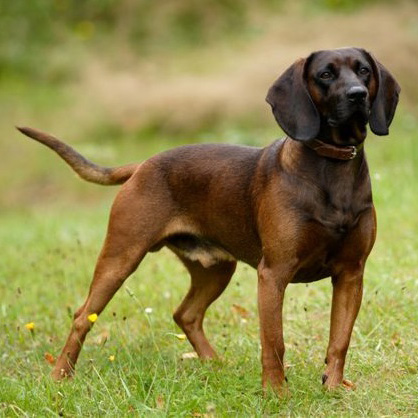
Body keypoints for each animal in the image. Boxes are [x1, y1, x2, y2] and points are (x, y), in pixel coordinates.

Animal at [18, 47, 400, 390]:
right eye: (325, 74)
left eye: (364, 70)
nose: (357, 94)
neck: (331, 167)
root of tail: (142, 166)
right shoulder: (273, 275)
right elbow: (274, 344)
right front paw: (276, 395)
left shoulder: (350, 275)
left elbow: (339, 341)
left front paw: (332, 390)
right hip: (120, 259)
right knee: (83, 316)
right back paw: (60, 376)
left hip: (215, 269)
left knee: (185, 314)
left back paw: (214, 365)